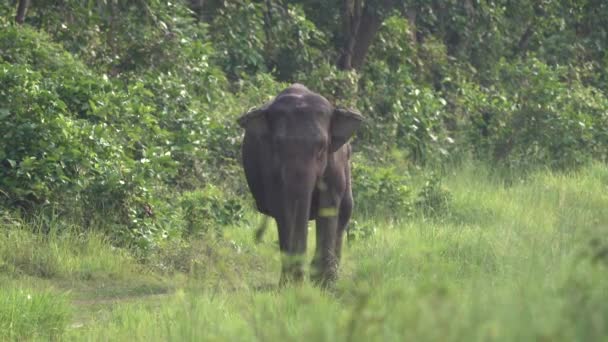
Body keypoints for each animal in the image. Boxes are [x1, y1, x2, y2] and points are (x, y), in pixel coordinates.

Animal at [236, 83, 360, 286]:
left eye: (322, 147)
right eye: (277, 145)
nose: (300, 275)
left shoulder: (335, 163)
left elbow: (329, 205)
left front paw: (322, 284)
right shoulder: (269, 167)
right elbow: (283, 208)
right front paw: (291, 285)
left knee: (345, 211)